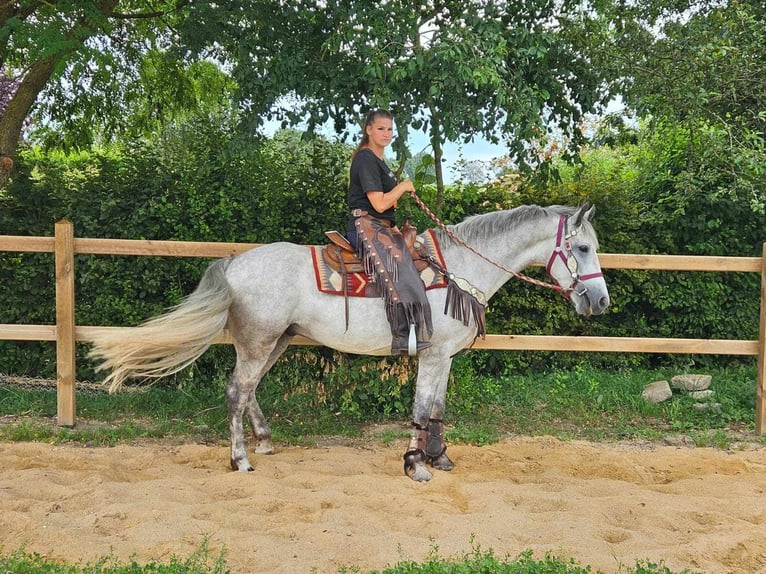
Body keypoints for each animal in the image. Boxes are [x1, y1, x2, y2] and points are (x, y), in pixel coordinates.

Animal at [90, 205, 612, 484]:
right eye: (583, 248)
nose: (601, 302)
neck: (459, 269)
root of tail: (234, 263)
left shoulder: (444, 357)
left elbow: (438, 407)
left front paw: (439, 457)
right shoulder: (432, 354)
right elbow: (421, 407)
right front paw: (415, 465)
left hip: (273, 342)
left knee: (249, 389)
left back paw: (265, 442)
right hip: (260, 341)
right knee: (237, 391)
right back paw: (240, 460)